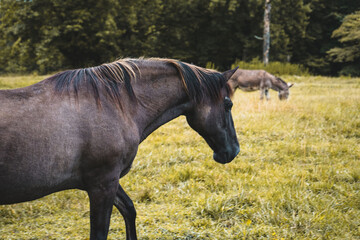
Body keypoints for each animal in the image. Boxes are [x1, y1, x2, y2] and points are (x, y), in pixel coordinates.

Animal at [0, 58, 242, 240]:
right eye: (228, 104)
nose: (234, 151)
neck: (114, 105)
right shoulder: (102, 184)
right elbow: (100, 232)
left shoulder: (107, 180)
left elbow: (129, 210)